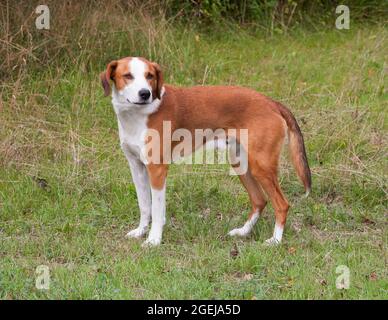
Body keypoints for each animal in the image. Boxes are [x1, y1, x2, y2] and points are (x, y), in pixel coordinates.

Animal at [98, 57, 310, 248]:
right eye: (128, 76)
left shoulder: (157, 170)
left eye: (150, 76)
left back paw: (275, 241)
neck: (138, 115)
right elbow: (144, 206)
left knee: (281, 204)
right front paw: (141, 231)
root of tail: (272, 102)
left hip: (261, 167)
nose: (145, 94)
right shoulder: (136, 167)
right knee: (259, 200)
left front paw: (153, 240)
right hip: (241, 163)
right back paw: (243, 232)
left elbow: (157, 211)